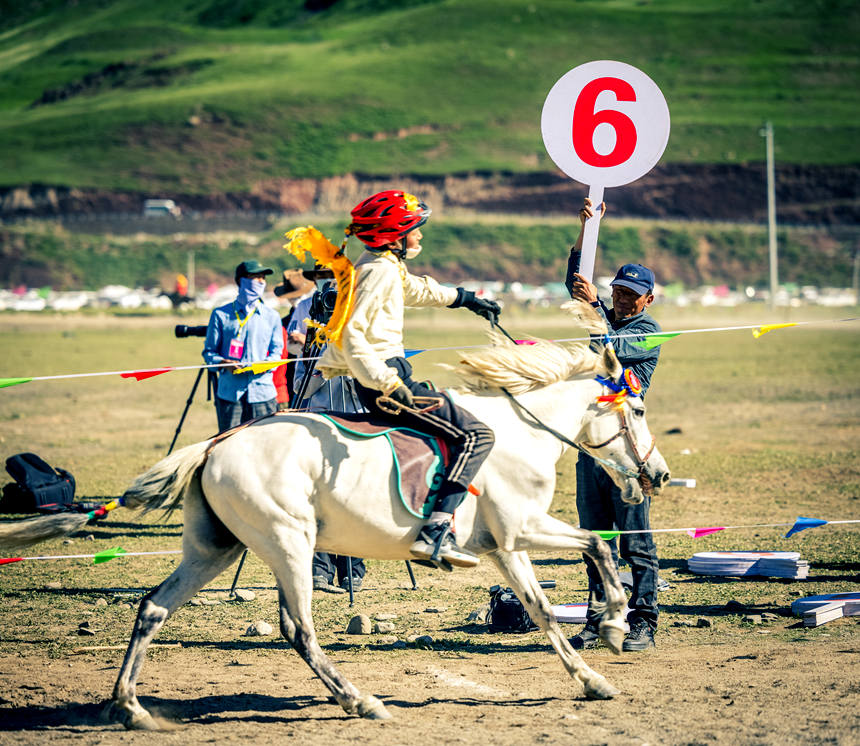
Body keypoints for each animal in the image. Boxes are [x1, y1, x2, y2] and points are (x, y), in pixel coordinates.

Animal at [0, 301, 670, 728]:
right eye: (636, 412)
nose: (658, 476)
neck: (521, 431)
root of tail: (217, 444)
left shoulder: (506, 548)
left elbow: (552, 600)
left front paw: (595, 672)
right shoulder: (520, 532)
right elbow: (597, 547)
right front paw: (613, 625)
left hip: (213, 550)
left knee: (153, 609)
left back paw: (130, 708)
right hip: (290, 544)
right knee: (298, 630)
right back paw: (360, 700)